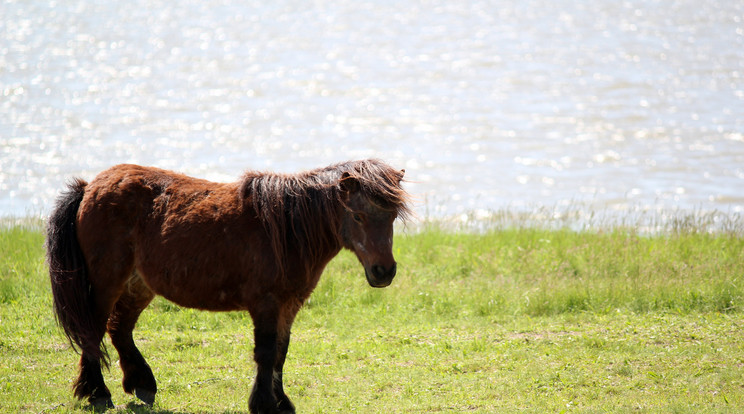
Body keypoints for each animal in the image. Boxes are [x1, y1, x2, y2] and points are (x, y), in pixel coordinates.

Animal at [46, 159, 412, 414]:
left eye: (392, 216)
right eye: (359, 216)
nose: (383, 272)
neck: (287, 229)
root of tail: (89, 186)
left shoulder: (289, 306)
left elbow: (281, 354)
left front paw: (282, 402)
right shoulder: (266, 304)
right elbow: (266, 353)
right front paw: (264, 404)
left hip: (138, 285)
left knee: (119, 329)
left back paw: (143, 386)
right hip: (107, 281)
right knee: (93, 331)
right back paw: (98, 394)